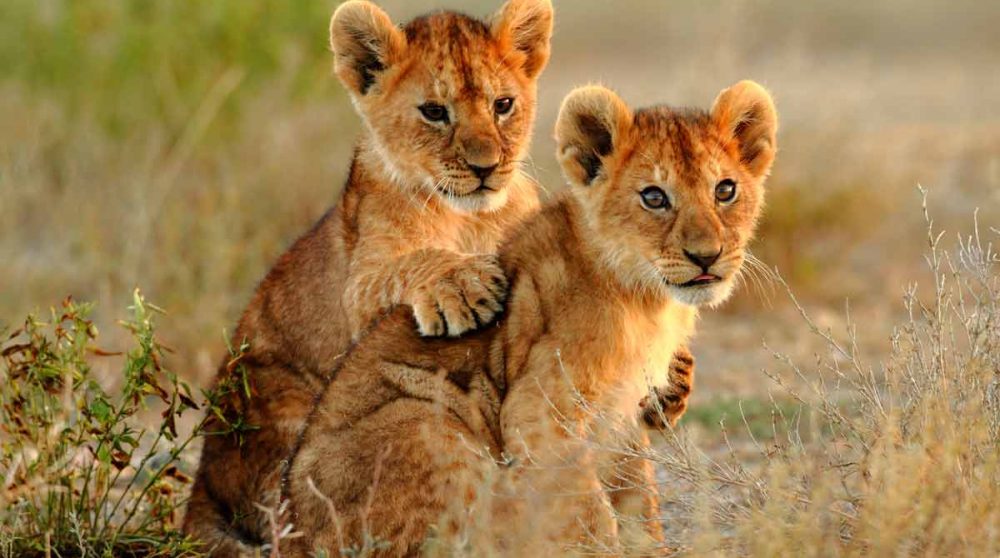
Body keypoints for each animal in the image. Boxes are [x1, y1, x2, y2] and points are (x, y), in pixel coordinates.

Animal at [283, 80, 778, 556]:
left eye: (725, 190)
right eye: (654, 197)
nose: (707, 256)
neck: (647, 300)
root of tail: (291, 529)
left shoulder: (620, 415)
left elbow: (638, 497)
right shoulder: (540, 409)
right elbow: (589, 511)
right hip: (423, 418)